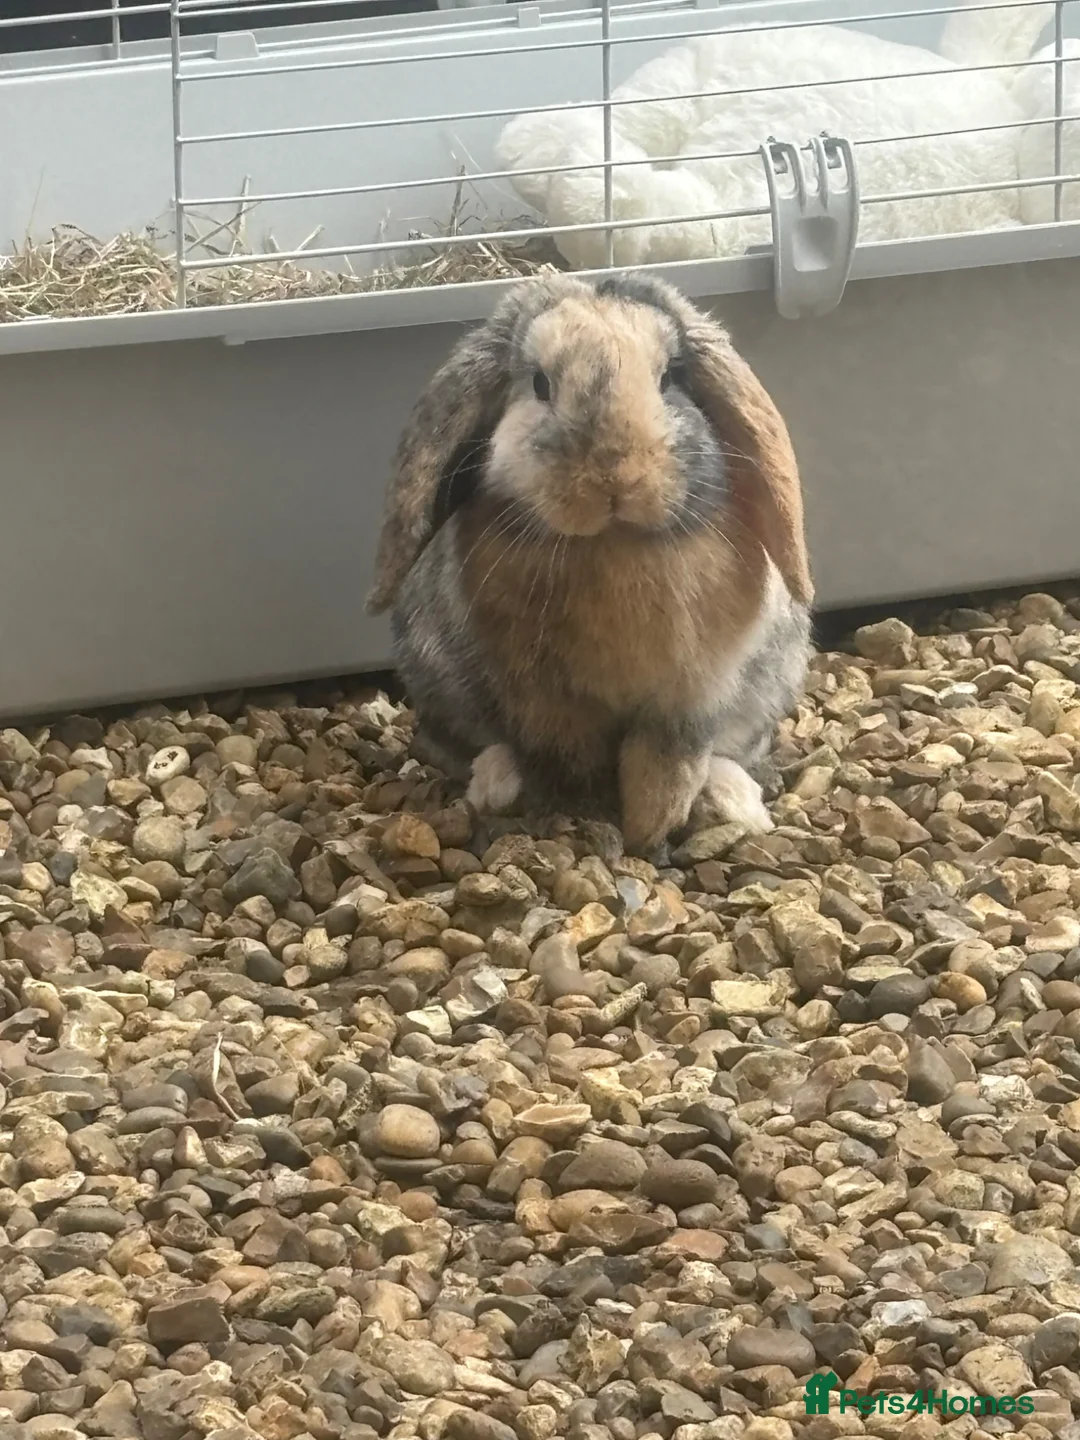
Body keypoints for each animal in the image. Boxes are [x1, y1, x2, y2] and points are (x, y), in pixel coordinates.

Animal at [367, 273, 813, 856]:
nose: (614, 474)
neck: (613, 543)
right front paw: (583, 816)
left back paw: (736, 802)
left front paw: (648, 833)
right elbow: (567, 761)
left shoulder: (688, 697)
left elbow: (667, 770)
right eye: (539, 384)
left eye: (669, 378)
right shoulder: (542, 698)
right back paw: (494, 786)